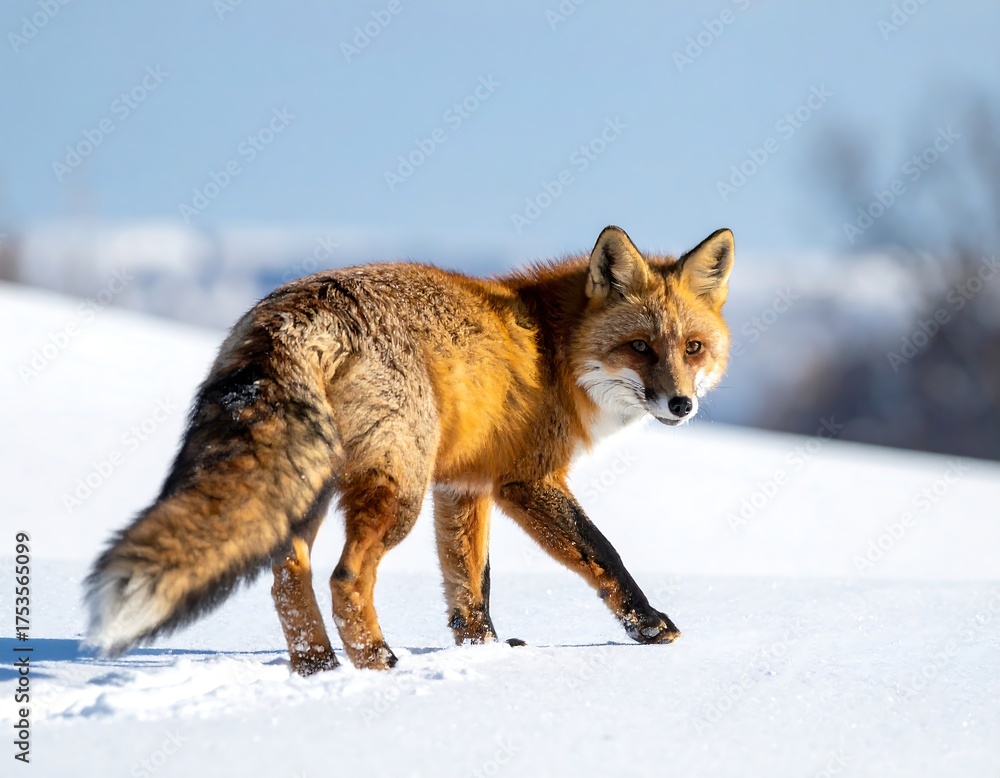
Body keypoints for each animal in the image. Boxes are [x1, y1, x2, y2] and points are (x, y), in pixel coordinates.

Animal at [85, 225, 734, 675]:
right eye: (640, 347)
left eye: (693, 348)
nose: (681, 404)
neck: (554, 354)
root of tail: (297, 310)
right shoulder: (526, 480)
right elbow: (603, 553)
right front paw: (649, 626)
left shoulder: (464, 486)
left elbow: (470, 586)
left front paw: (484, 651)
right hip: (399, 490)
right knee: (346, 578)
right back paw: (378, 663)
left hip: (319, 483)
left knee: (287, 576)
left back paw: (319, 669)